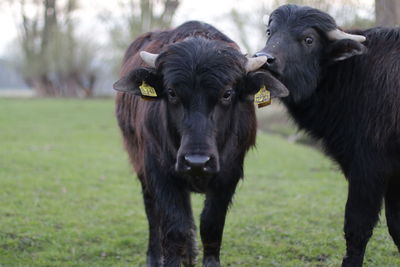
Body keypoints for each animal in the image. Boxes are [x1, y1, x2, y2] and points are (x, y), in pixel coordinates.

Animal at [112, 21, 288, 267]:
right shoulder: (159, 170)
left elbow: (210, 225)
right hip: (140, 163)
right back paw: (155, 256)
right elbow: (174, 227)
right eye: (172, 93)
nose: (197, 162)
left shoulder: (229, 174)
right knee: (152, 211)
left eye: (227, 93)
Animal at [256, 4, 400, 267]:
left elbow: (357, 226)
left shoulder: (369, 168)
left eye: (308, 39)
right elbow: (397, 227)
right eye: (270, 32)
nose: (265, 59)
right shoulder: (394, 175)